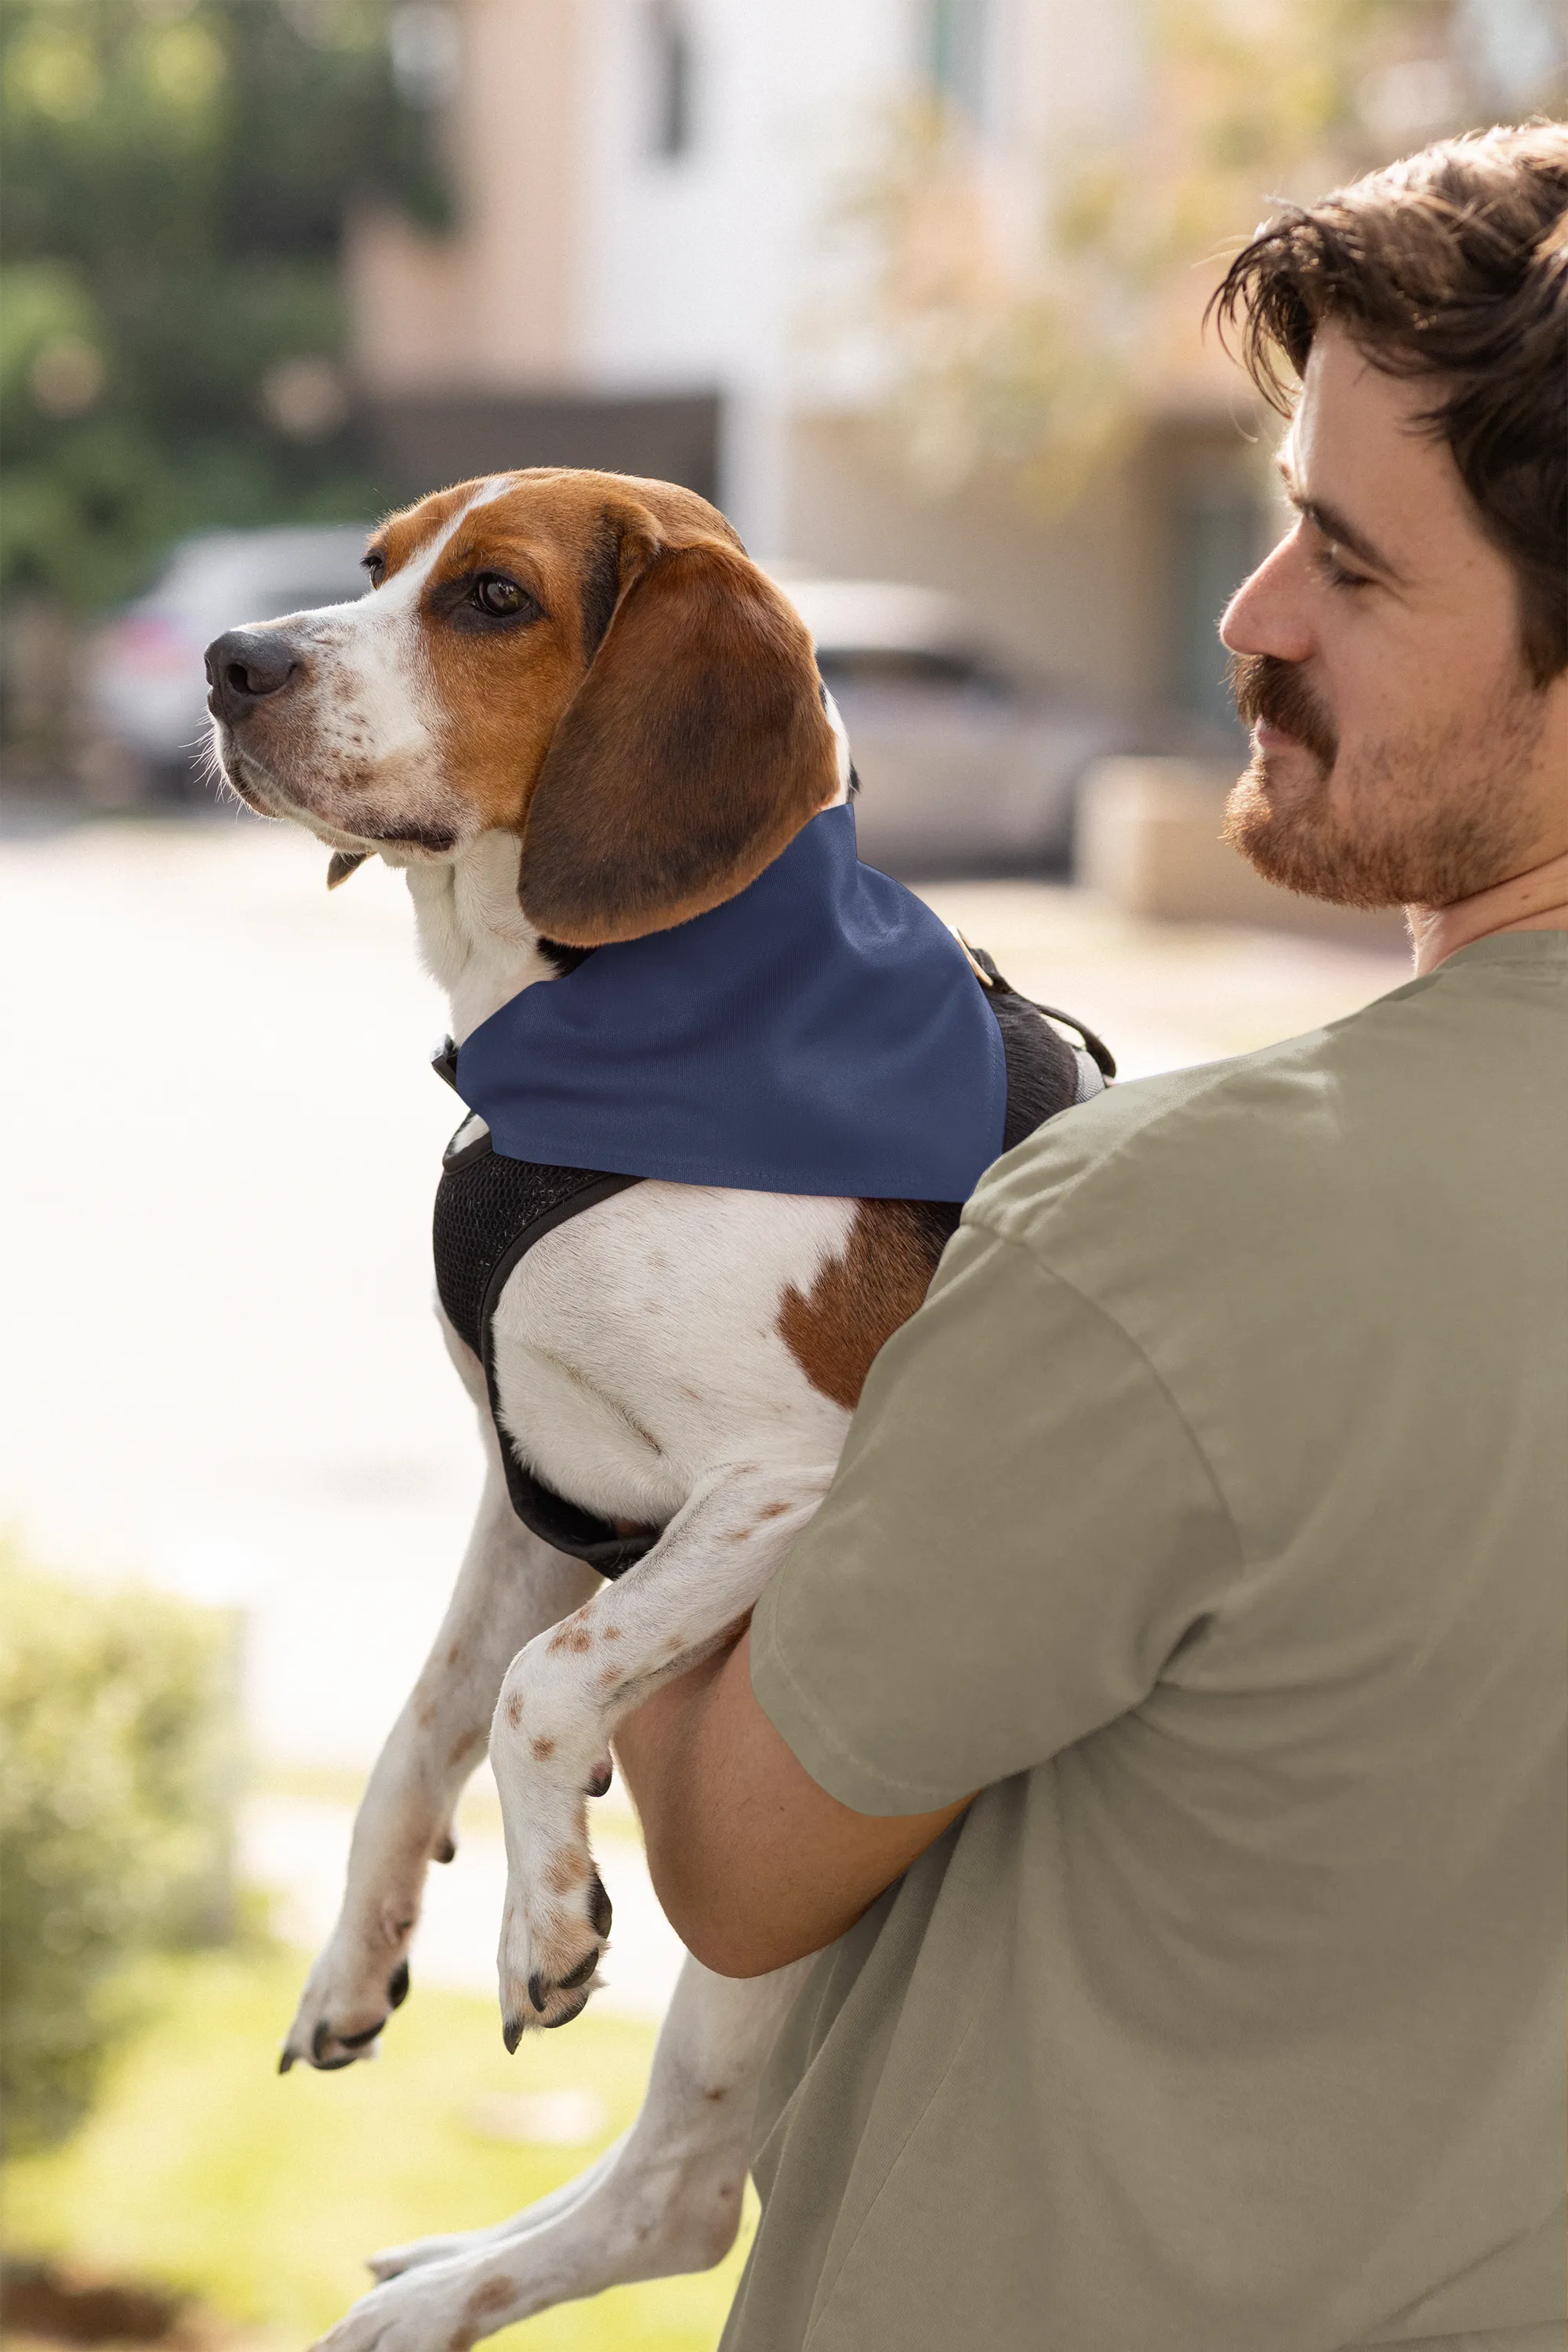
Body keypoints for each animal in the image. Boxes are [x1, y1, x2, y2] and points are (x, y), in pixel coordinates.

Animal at [201, 463, 1100, 2352]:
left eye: (492, 599)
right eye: (375, 566)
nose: (231, 660)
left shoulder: (795, 1488)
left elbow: (540, 1690)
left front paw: (539, 1920)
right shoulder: (531, 1489)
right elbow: (426, 1717)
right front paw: (359, 1949)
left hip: (769, 1910)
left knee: (686, 2200)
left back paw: (430, 2302)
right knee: (675, 2188)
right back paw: (435, 2280)